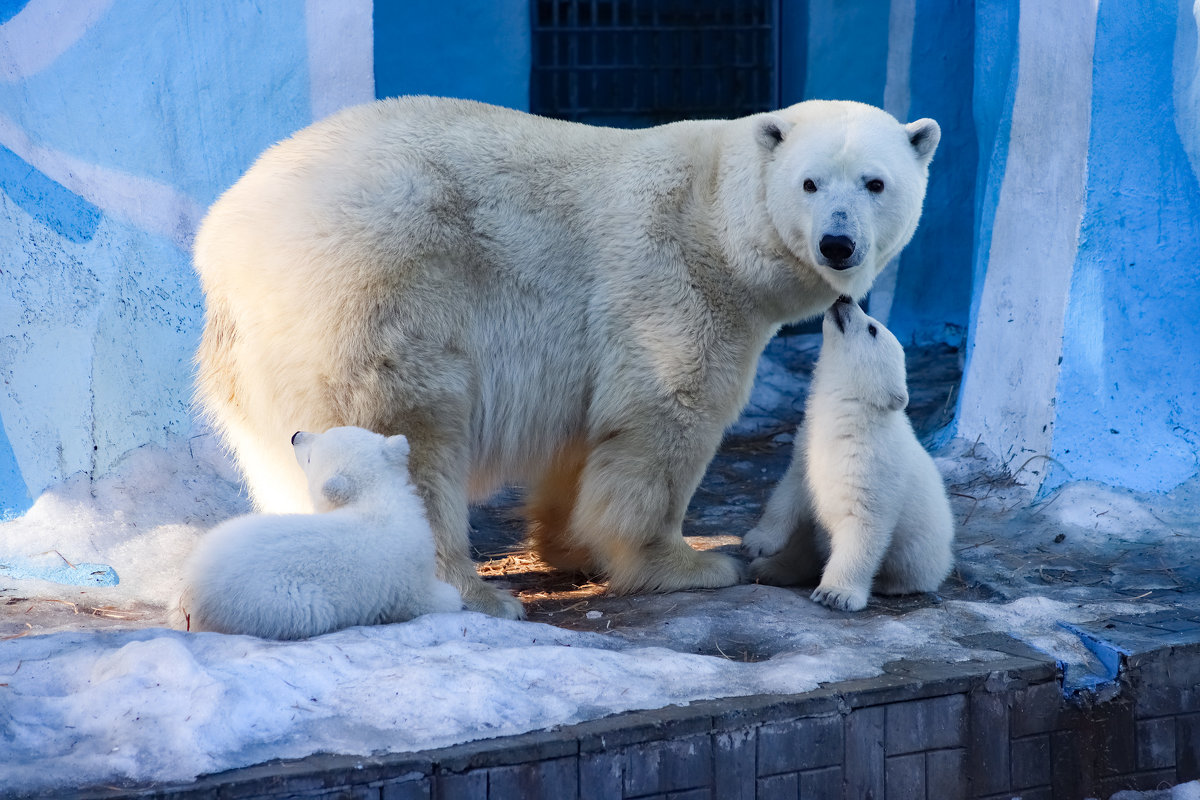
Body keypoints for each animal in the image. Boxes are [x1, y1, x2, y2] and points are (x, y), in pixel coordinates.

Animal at [196, 95, 940, 618]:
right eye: (811, 184)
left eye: (875, 183)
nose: (838, 244)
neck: (717, 217)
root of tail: (228, 236)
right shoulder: (671, 287)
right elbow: (665, 420)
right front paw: (693, 564)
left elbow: (584, 442)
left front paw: (574, 547)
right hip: (379, 287)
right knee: (410, 425)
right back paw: (479, 593)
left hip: (251, 356)